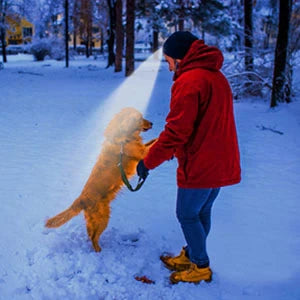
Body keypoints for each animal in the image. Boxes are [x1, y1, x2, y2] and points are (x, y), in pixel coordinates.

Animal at [46, 106, 157, 252]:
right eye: (139, 118)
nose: (152, 123)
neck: (124, 136)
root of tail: (80, 199)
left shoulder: (142, 148)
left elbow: (153, 140)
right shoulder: (142, 152)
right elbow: (155, 143)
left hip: (95, 219)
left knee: (90, 234)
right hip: (103, 218)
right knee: (93, 237)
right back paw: (99, 251)